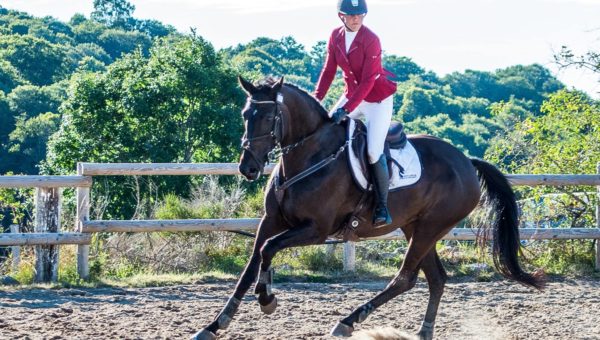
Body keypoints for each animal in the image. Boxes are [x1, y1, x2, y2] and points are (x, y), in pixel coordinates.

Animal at [192, 77, 544, 340]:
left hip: (430, 227)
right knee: (436, 278)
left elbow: (268, 250)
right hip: (415, 227)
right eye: (245, 114)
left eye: (267, 117)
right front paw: (215, 324)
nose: (248, 168)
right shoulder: (271, 221)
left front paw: (267, 298)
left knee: (405, 278)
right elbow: (252, 264)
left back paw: (348, 322)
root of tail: (467, 162)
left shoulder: (316, 230)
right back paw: (423, 332)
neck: (308, 155)